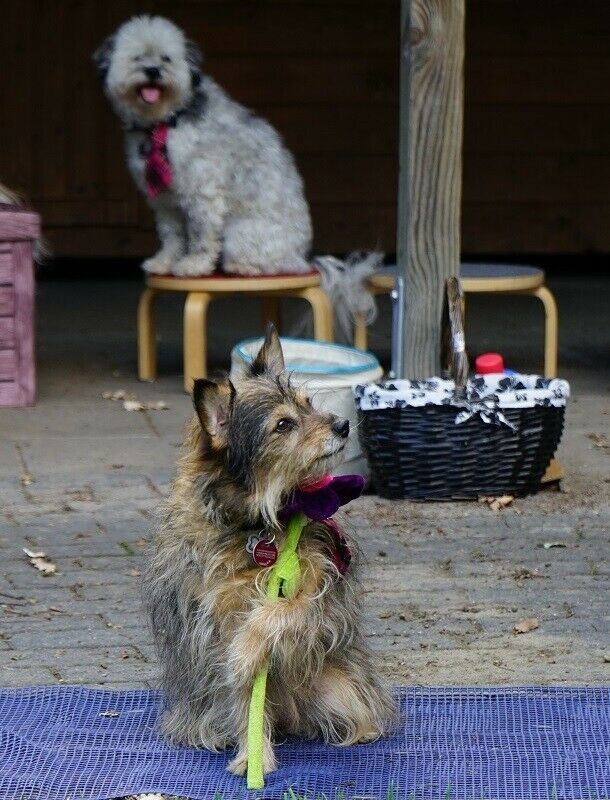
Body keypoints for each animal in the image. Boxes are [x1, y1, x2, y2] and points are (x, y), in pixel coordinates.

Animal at [96, 15, 314, 276]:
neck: (167, 121)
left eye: (166, 58)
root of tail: (299, 257)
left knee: (264, 265)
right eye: (137, 57)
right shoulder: (166, 201)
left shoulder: (202, 193)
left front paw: (194, 264)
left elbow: (201, 235)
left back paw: (239, 265)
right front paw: (164, 262)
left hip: (241, 233)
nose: (153, 71)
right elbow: (172, 236)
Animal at [142, 324, 394, 776]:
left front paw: (249, 646)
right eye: (283, 424)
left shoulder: (320, 579)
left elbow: (285, 611)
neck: (259, 522)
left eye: (309, 404)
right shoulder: (216, 617)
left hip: (340, 687)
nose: (344, 424)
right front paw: (252, 754)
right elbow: (241, 689)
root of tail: (289, 715)